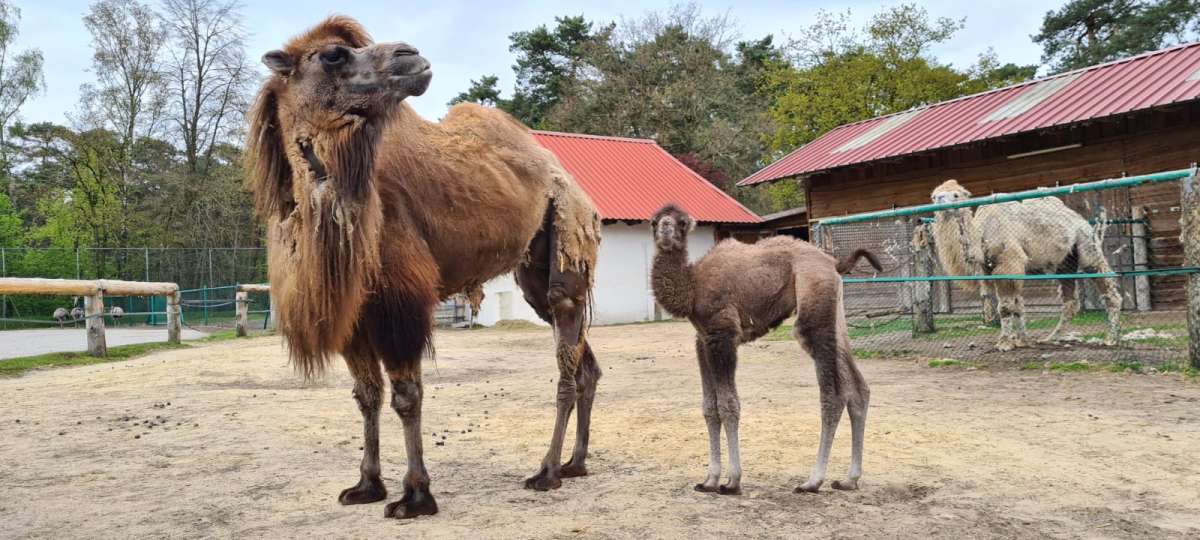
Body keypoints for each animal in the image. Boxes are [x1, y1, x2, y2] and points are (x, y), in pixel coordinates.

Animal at [246, 16, 600, 518]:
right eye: (333, 55)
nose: (409, 55)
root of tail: (574, 186)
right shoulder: (353, 314)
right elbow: (366, 396)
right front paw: (366, 485)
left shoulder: (401, 300)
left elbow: (406, 396)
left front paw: (414, 495)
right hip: (534, 271)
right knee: (586, 364)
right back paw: (575, 463)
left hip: (565, 246)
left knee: (566, 357)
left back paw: (546, 471)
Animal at [652, 205, 878, 496]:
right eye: (654, 221)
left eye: (681, 222)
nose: (665, 229)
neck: (693, 285)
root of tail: (833, 263)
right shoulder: (702, 340)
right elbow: (709, 407)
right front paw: (709, 480)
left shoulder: (723, 334)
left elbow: (728, 405)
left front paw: (732, 481)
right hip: (836, 316)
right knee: (858, 388)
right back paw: (849, 479)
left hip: (813, 308)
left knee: (834, 394)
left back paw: (813, 481)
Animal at [931, 178, 1118, 352]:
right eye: (934, 195)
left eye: (956, 195)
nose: (940, 200)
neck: (981, 237)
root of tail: (1080, 220)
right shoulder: (994, 270)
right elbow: (1018, 306)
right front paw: (1022, 340)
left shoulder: (1008, 264)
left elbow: (1006, 307)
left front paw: (1005, 343)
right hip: (1065, 262)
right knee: (1070, 301)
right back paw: (1051, 337)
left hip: (1087, 244)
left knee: (1107, 288)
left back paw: (1111, 338)